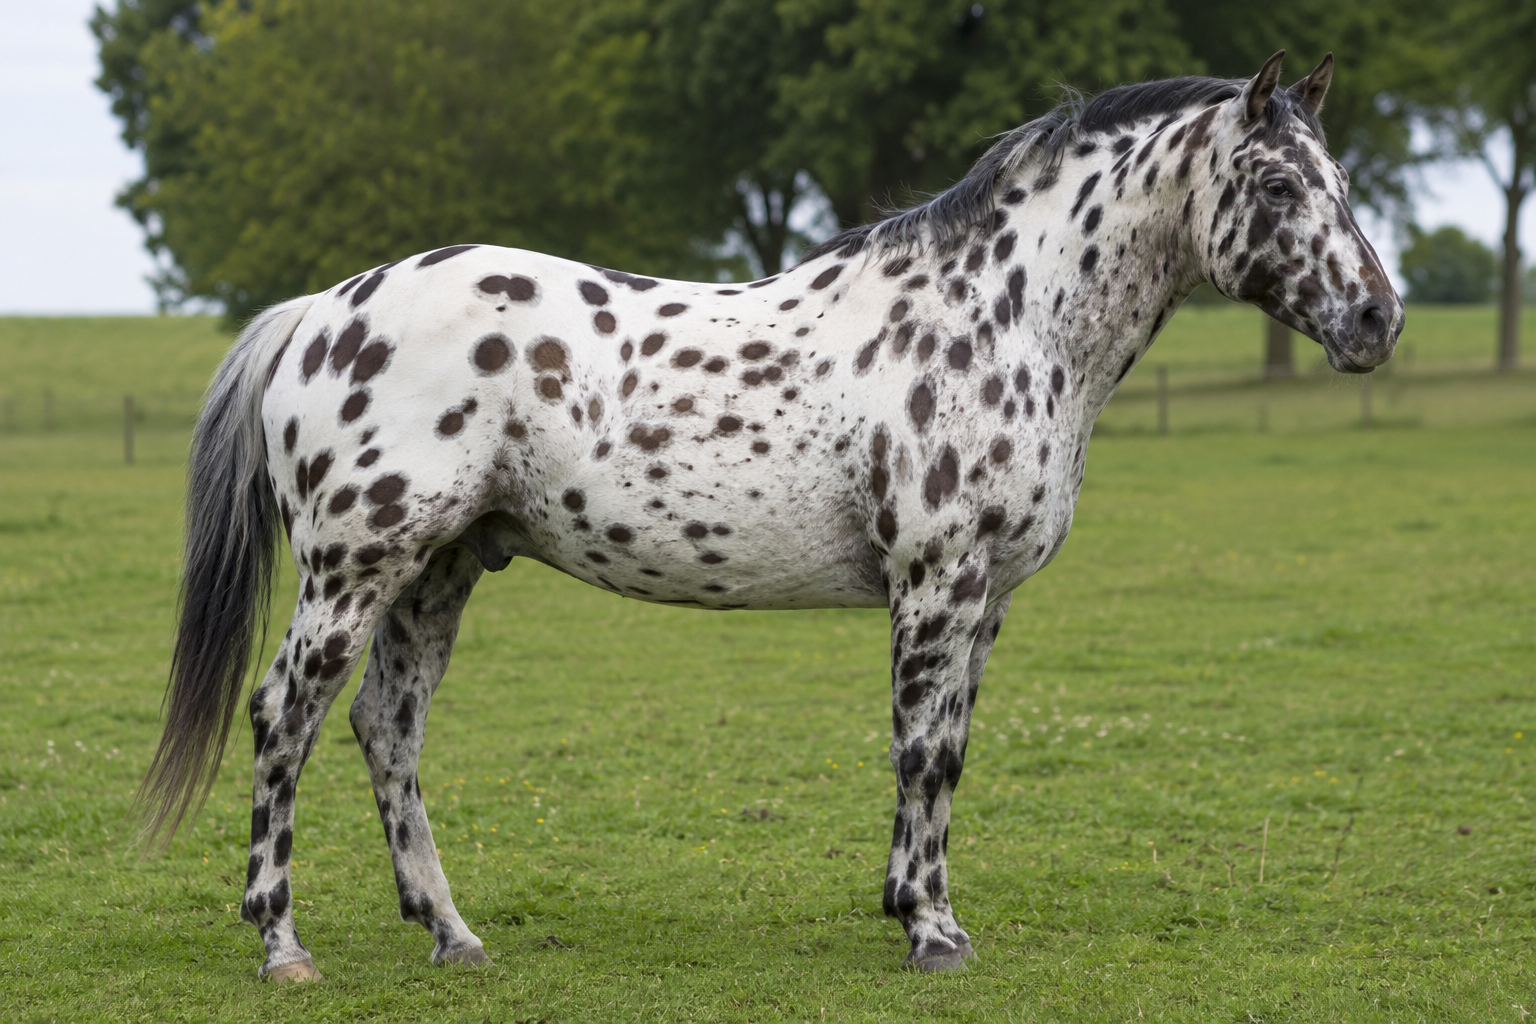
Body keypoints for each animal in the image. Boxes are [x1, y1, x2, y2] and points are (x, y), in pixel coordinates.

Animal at [139, 50, 1402, 980]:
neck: (1002, 316)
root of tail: (322, 310)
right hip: (353, 568)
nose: (1378, 320)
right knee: (285, 717)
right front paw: (930, 931)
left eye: (1343, 182)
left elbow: (950, 752)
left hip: (437, 570)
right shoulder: (936, 581)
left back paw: (452, 933)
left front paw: (918, 907)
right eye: (1279, 185)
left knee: (386, 728)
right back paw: (281, 944)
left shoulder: (986, 599)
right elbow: (922, 748)